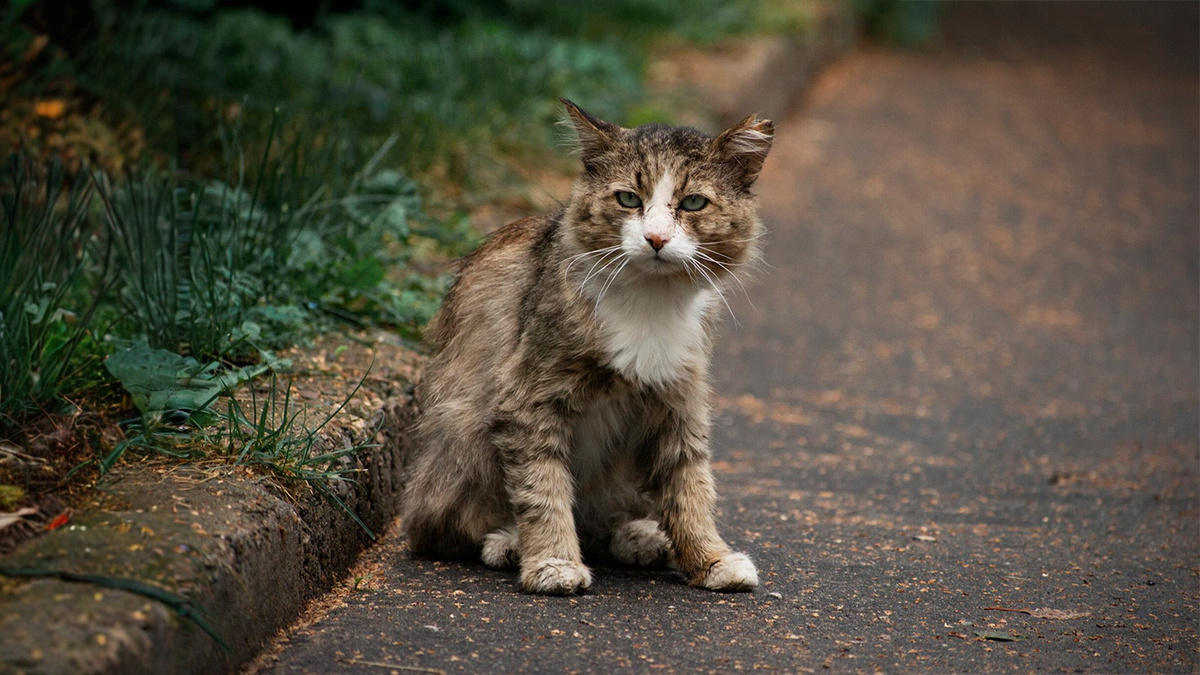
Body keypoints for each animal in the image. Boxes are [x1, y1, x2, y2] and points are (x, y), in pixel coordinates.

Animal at [403, 99, 772, 593]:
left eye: (693, 202)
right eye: (629, 199)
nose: (657, 239)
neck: (649, 301)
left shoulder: (679, 400)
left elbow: (690, 486)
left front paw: (710, 559)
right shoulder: (527, 397)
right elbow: (543, 489)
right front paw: (553, 562)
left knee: (603, 521)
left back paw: (638, 537)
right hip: (463, 431)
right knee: (445, 525)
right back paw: (509, 543)